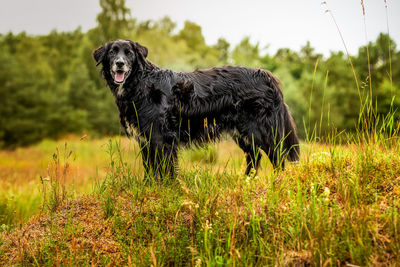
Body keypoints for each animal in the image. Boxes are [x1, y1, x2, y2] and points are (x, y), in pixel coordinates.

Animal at [94, 39, 298, 179]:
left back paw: (276, 184)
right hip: (243, 133)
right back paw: (245, 182)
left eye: (129, 53)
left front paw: (165, 190)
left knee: (278, 158)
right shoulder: (145, 140)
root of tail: (267, 75)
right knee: (254, 158)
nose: (120, 63)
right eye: (112, 52)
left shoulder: (161, 138)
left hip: (262, 131)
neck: (140, 83)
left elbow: (164, 169)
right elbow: (150, 169)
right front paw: (148, 188)